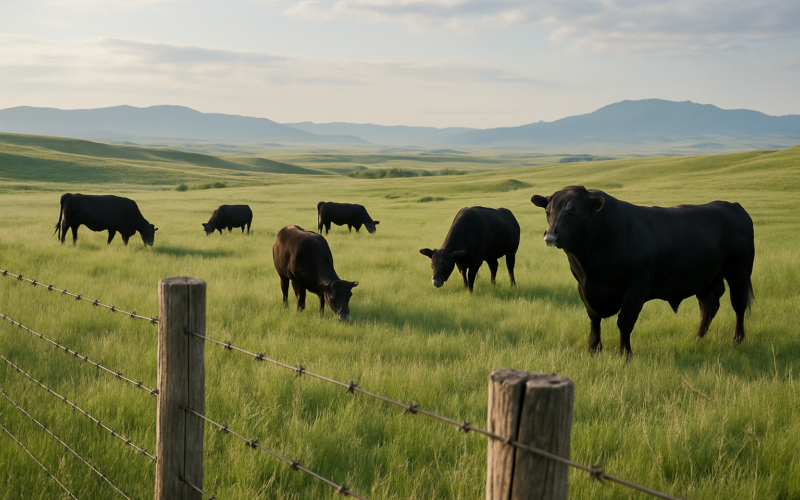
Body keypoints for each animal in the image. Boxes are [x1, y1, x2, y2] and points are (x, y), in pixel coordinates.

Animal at [531, 185, 755, 358]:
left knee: (738, 306)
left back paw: (738, 340)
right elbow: (594, 319)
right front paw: (593, 348)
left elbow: (624, 322)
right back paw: (698, 338)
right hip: (707, 279)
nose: (550, 235)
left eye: (573, 211)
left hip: (739, 274)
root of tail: (733, 206)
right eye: (547, 211)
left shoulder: (635, 290)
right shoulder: (584, 287)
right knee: (709, 307)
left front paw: (624, 353)